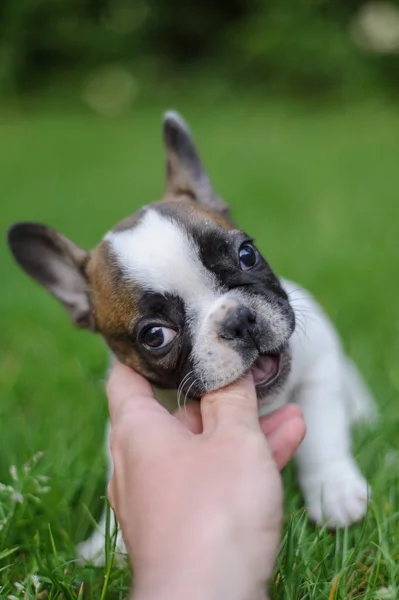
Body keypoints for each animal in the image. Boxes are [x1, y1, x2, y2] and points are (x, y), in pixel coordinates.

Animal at [8, 110, 378, 564]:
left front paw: (333, 490)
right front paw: (107, 541)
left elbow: (322, 428)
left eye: (247, 254)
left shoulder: (320, 364)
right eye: (155, 335)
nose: (239, 320)